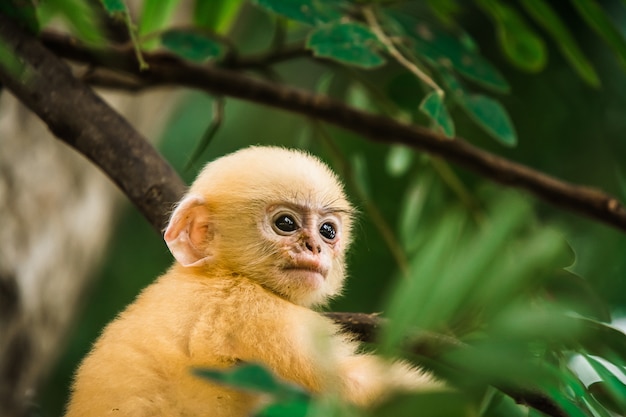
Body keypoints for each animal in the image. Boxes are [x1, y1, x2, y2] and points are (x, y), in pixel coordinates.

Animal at [63, 146, 434, 416]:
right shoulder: (258, 314)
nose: (315, 247)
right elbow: (354, 388)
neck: (219, 273)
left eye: (328, 231)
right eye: (286, 223)